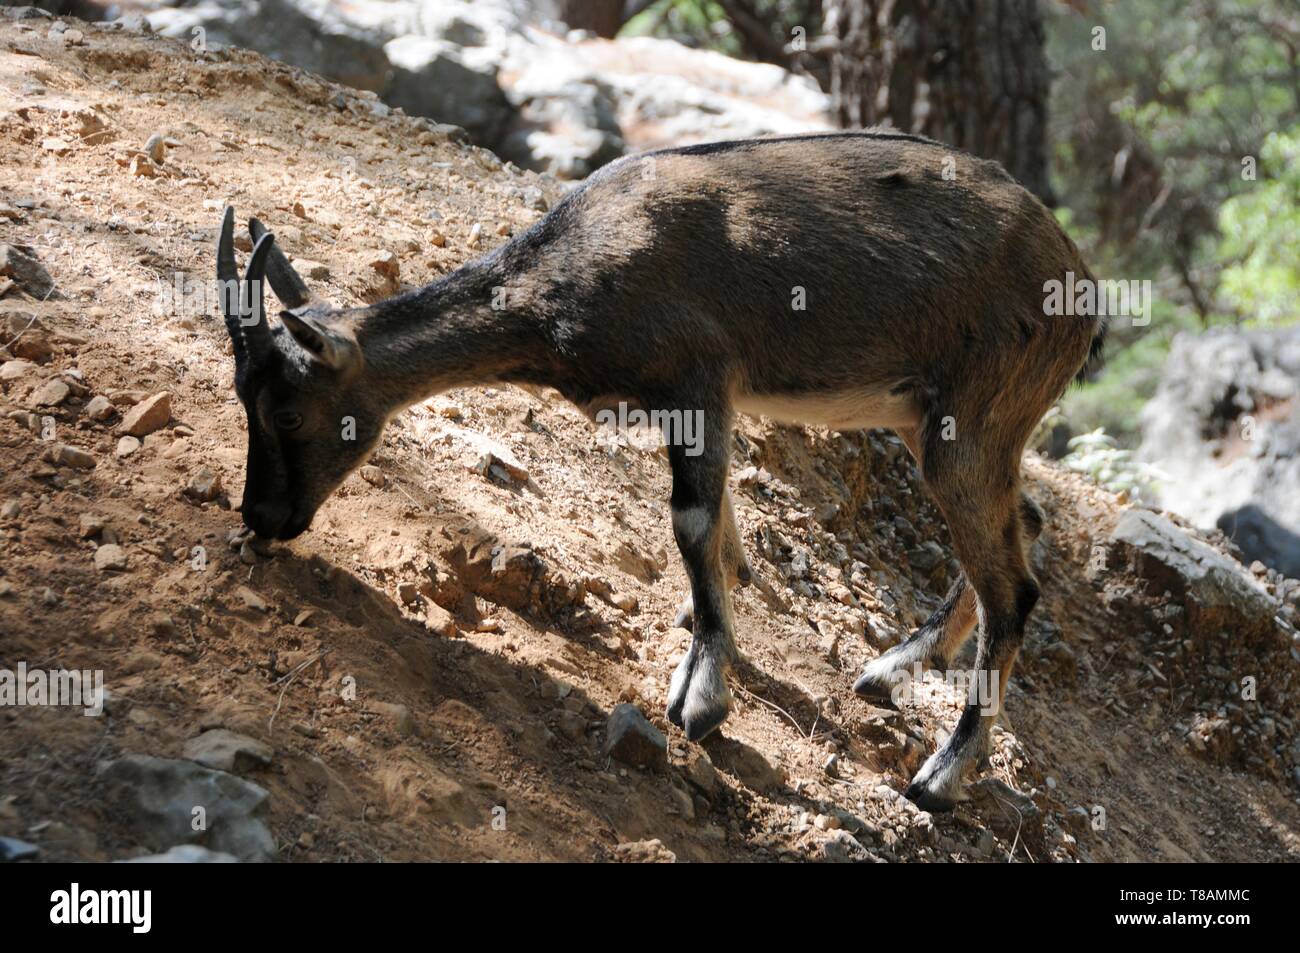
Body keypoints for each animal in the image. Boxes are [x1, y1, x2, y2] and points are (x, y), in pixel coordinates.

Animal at [216, 131, 1104, 810]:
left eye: (286, 412)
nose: (262, 515)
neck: (572, 273)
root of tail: (1081, 287)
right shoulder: (706, 401)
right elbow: (717, 516)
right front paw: (718, 606)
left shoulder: (698, 374)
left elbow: (691, 520)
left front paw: (701, 696)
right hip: (944, 419)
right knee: (1023, 524)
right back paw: (888, 672)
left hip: (974, 413)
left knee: (1014, 589)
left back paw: (938, 778)